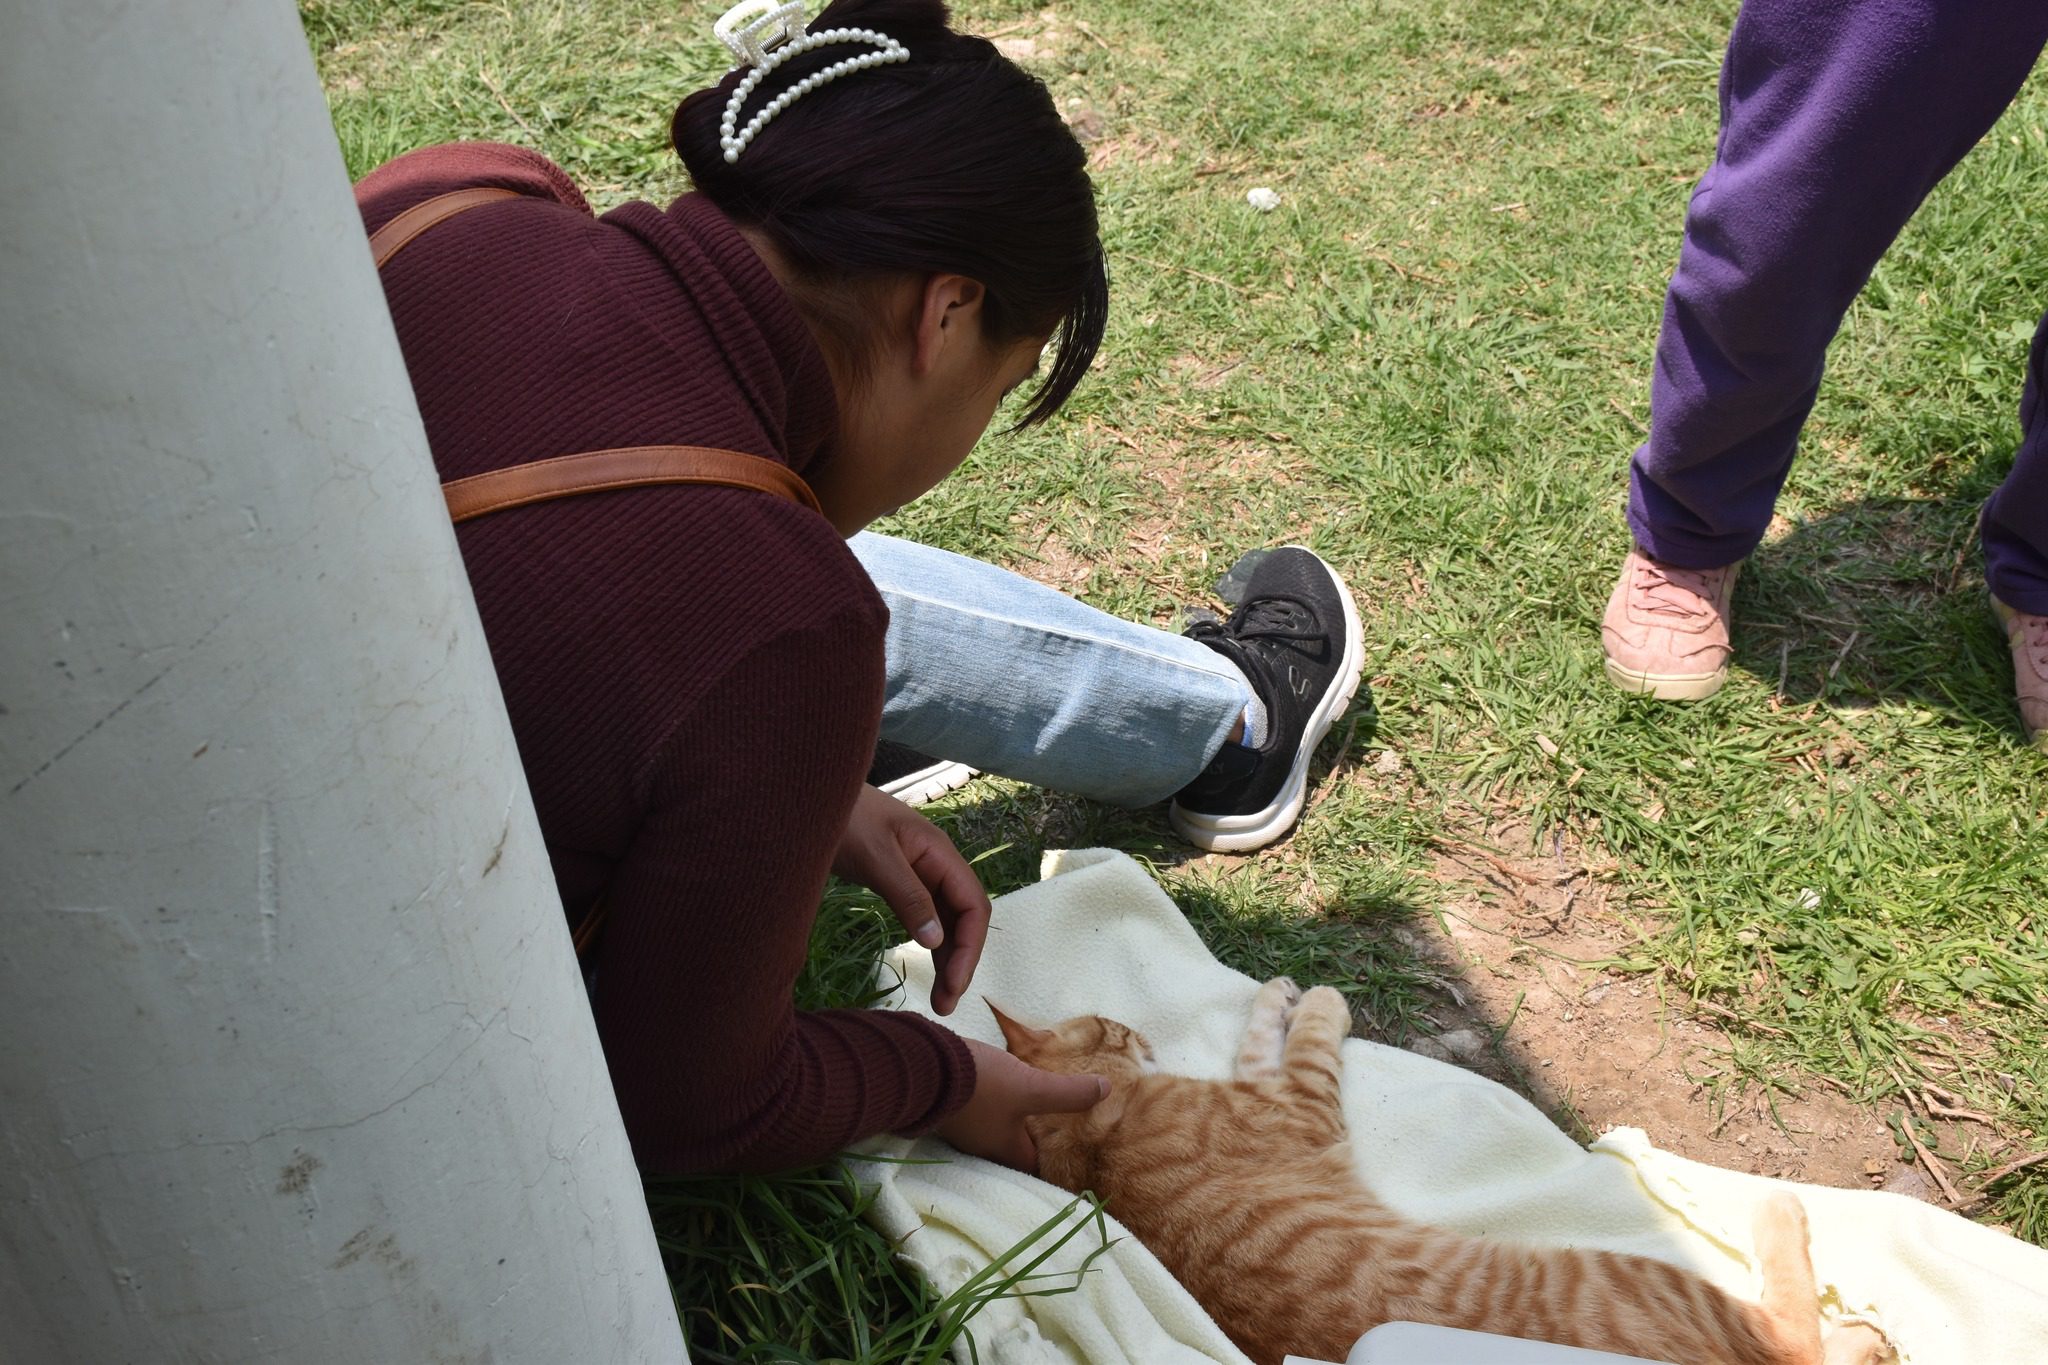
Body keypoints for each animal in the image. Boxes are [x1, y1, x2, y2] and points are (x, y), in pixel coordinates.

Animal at [991, 978, 1884, 1365]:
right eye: (1111, 1024)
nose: (1136, 1028)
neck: (1100, 1148)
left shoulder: (1268, 1093)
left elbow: (1259, 1038)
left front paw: (1274, 994)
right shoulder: (1298, 1105)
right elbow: (1303, 1040)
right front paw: (1312, 998)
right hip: (1653, 1282)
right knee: (1796, 1340)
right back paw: (1788, 1225)